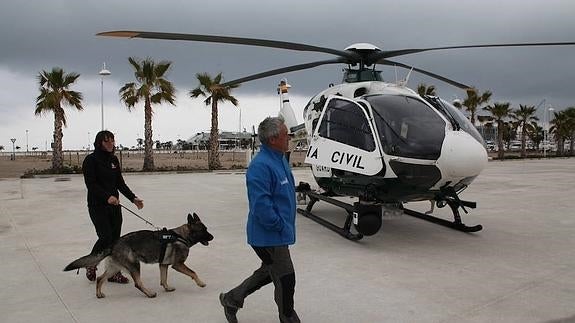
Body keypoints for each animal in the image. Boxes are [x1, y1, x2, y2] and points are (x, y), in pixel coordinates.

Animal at [65, 214, 214, 300]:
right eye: (203, 230)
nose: (212, 237)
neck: (182, 236)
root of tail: (113, 244)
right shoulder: (178, 265)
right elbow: (193, 272)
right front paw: (201, 283)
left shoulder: (163, 265)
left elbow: (163, 279)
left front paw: (167, 288)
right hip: (135, 265)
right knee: (137, 283)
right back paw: (149, 294)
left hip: (115, 268)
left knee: (100, 279)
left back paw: (99, 294)